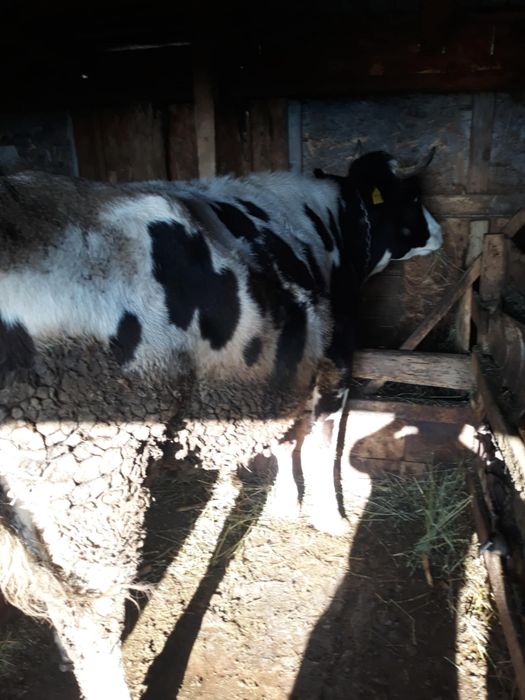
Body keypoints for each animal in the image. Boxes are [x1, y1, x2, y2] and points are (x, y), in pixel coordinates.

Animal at [0, 148, 442, 699]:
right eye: (413, 197)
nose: (439, 231)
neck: (332, 223)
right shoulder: (335, 363)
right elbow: (321, 446)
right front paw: (329, 516)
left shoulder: (279, 373)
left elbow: (284, 441)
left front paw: (284, 507)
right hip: (79, 467)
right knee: (89, 609)